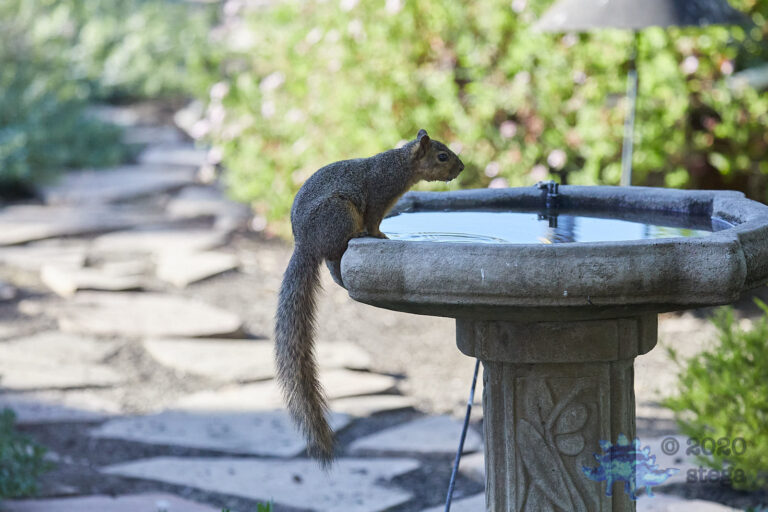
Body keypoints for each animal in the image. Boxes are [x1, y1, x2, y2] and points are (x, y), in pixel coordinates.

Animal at [274, 129, 464, 467]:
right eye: (442, 156)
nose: (462, 168)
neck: (400, 165)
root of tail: (305, 244)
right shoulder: (379, 196)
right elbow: (374, 221)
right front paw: (381, 236)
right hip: (339, 213)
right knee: (337, 247)